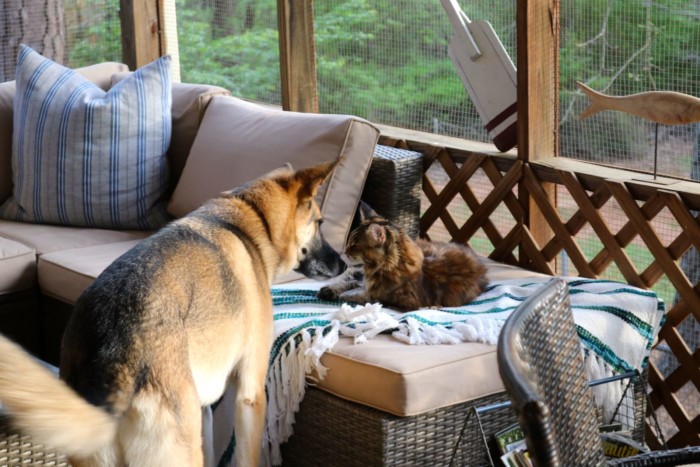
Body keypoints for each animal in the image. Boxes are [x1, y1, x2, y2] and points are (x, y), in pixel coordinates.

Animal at [0, 160, 344, 464]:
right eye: (320, 223)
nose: (343, 265)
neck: (251, 218)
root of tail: (116, 364)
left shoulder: (205, 408)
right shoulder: (251, 394)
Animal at [318, 204, 486, 310]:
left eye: (354, 246)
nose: (343, 252)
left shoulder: (400, 300)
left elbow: (364, 295)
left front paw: (345, 294)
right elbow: (354, 284)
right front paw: (333, 290)